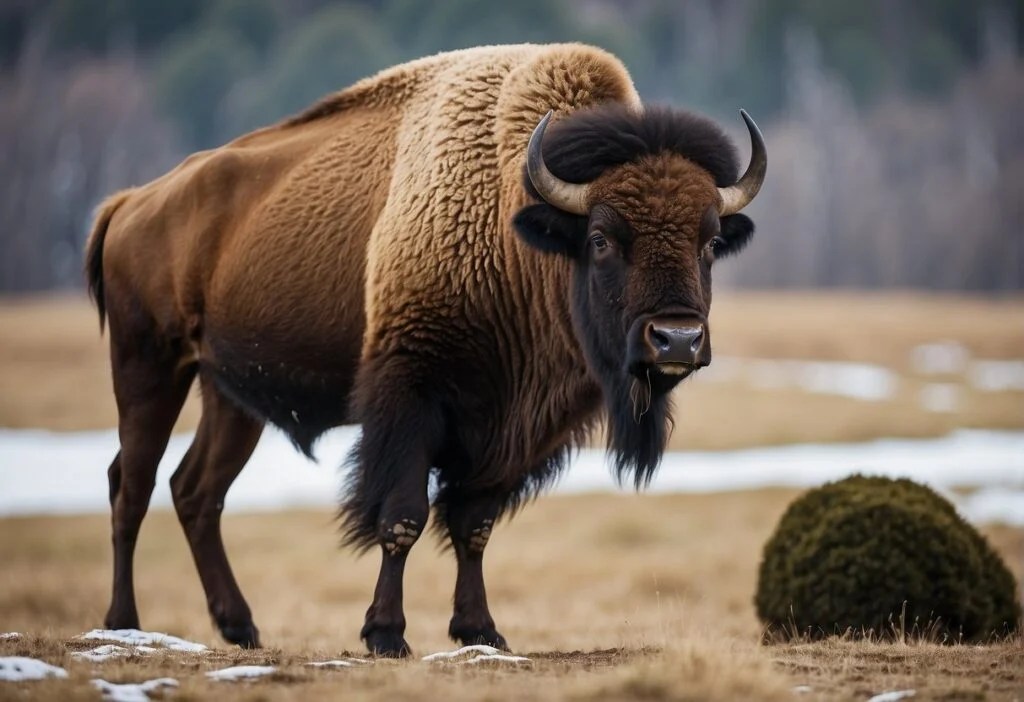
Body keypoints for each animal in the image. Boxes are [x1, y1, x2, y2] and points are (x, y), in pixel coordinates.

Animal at [85, 43, 765, 656]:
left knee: (196, 490)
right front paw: (386, 635)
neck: (515, 226)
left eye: (709, 241)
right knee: (132, 484)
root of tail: (131, 202)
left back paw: (241, 628)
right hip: (148, 366)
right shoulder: (410, 400)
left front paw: (481, 631)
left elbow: (474, 527)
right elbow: (403, 517)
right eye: (600, 238)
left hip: (229, 395)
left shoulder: (510, 431)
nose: (677, 338)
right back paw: (123, 623)